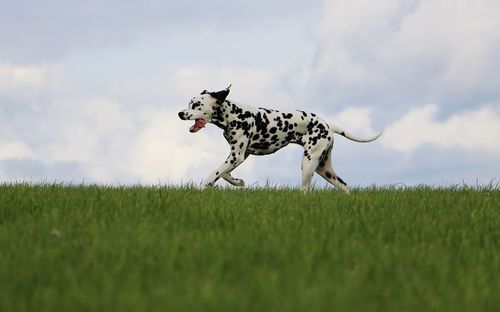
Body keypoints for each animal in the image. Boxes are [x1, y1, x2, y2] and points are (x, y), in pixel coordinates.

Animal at [178, 85, 380, 193]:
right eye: (189, 103)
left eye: (196, 105)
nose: (180, 113)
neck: (233, 114)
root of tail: (328, 125)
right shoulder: (240, 155)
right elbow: (225, 174)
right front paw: (238, 182)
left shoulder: (237, 156)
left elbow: (214, 174)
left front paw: (202, 188)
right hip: (324, 168)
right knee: (344, 186)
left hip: (308, 164)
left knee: (306, 191)